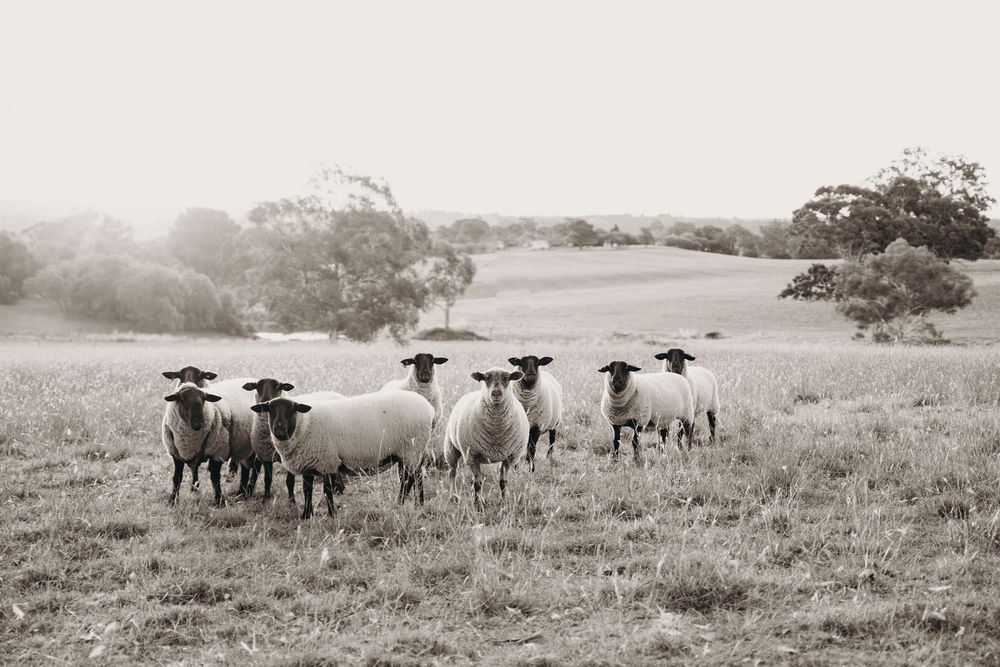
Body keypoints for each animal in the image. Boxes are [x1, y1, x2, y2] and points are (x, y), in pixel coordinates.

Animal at [251, 390, 434, 519]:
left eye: (292, 409)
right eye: (270, 409)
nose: (279, 429)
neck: (305, 425)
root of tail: (428, 407)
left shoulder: (328, 461)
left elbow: (327, 491)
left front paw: (332, 515)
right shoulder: (308, 465)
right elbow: (307, 490)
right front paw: (306, 515)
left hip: (411, 449)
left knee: (408, 479)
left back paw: (400, 503)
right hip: (412, 451)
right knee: (416, 476)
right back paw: (419, 503)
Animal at [444, 368, 530, 508]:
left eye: (506, 378)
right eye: (486, 378)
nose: (496, 393)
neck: (496, 432)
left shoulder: (509, 457)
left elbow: (503, 482)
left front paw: (504, 502)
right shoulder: (472, 456)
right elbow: (477, 484)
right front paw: (477, 504)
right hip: (451, 448)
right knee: (452, 472)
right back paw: (454, 496)